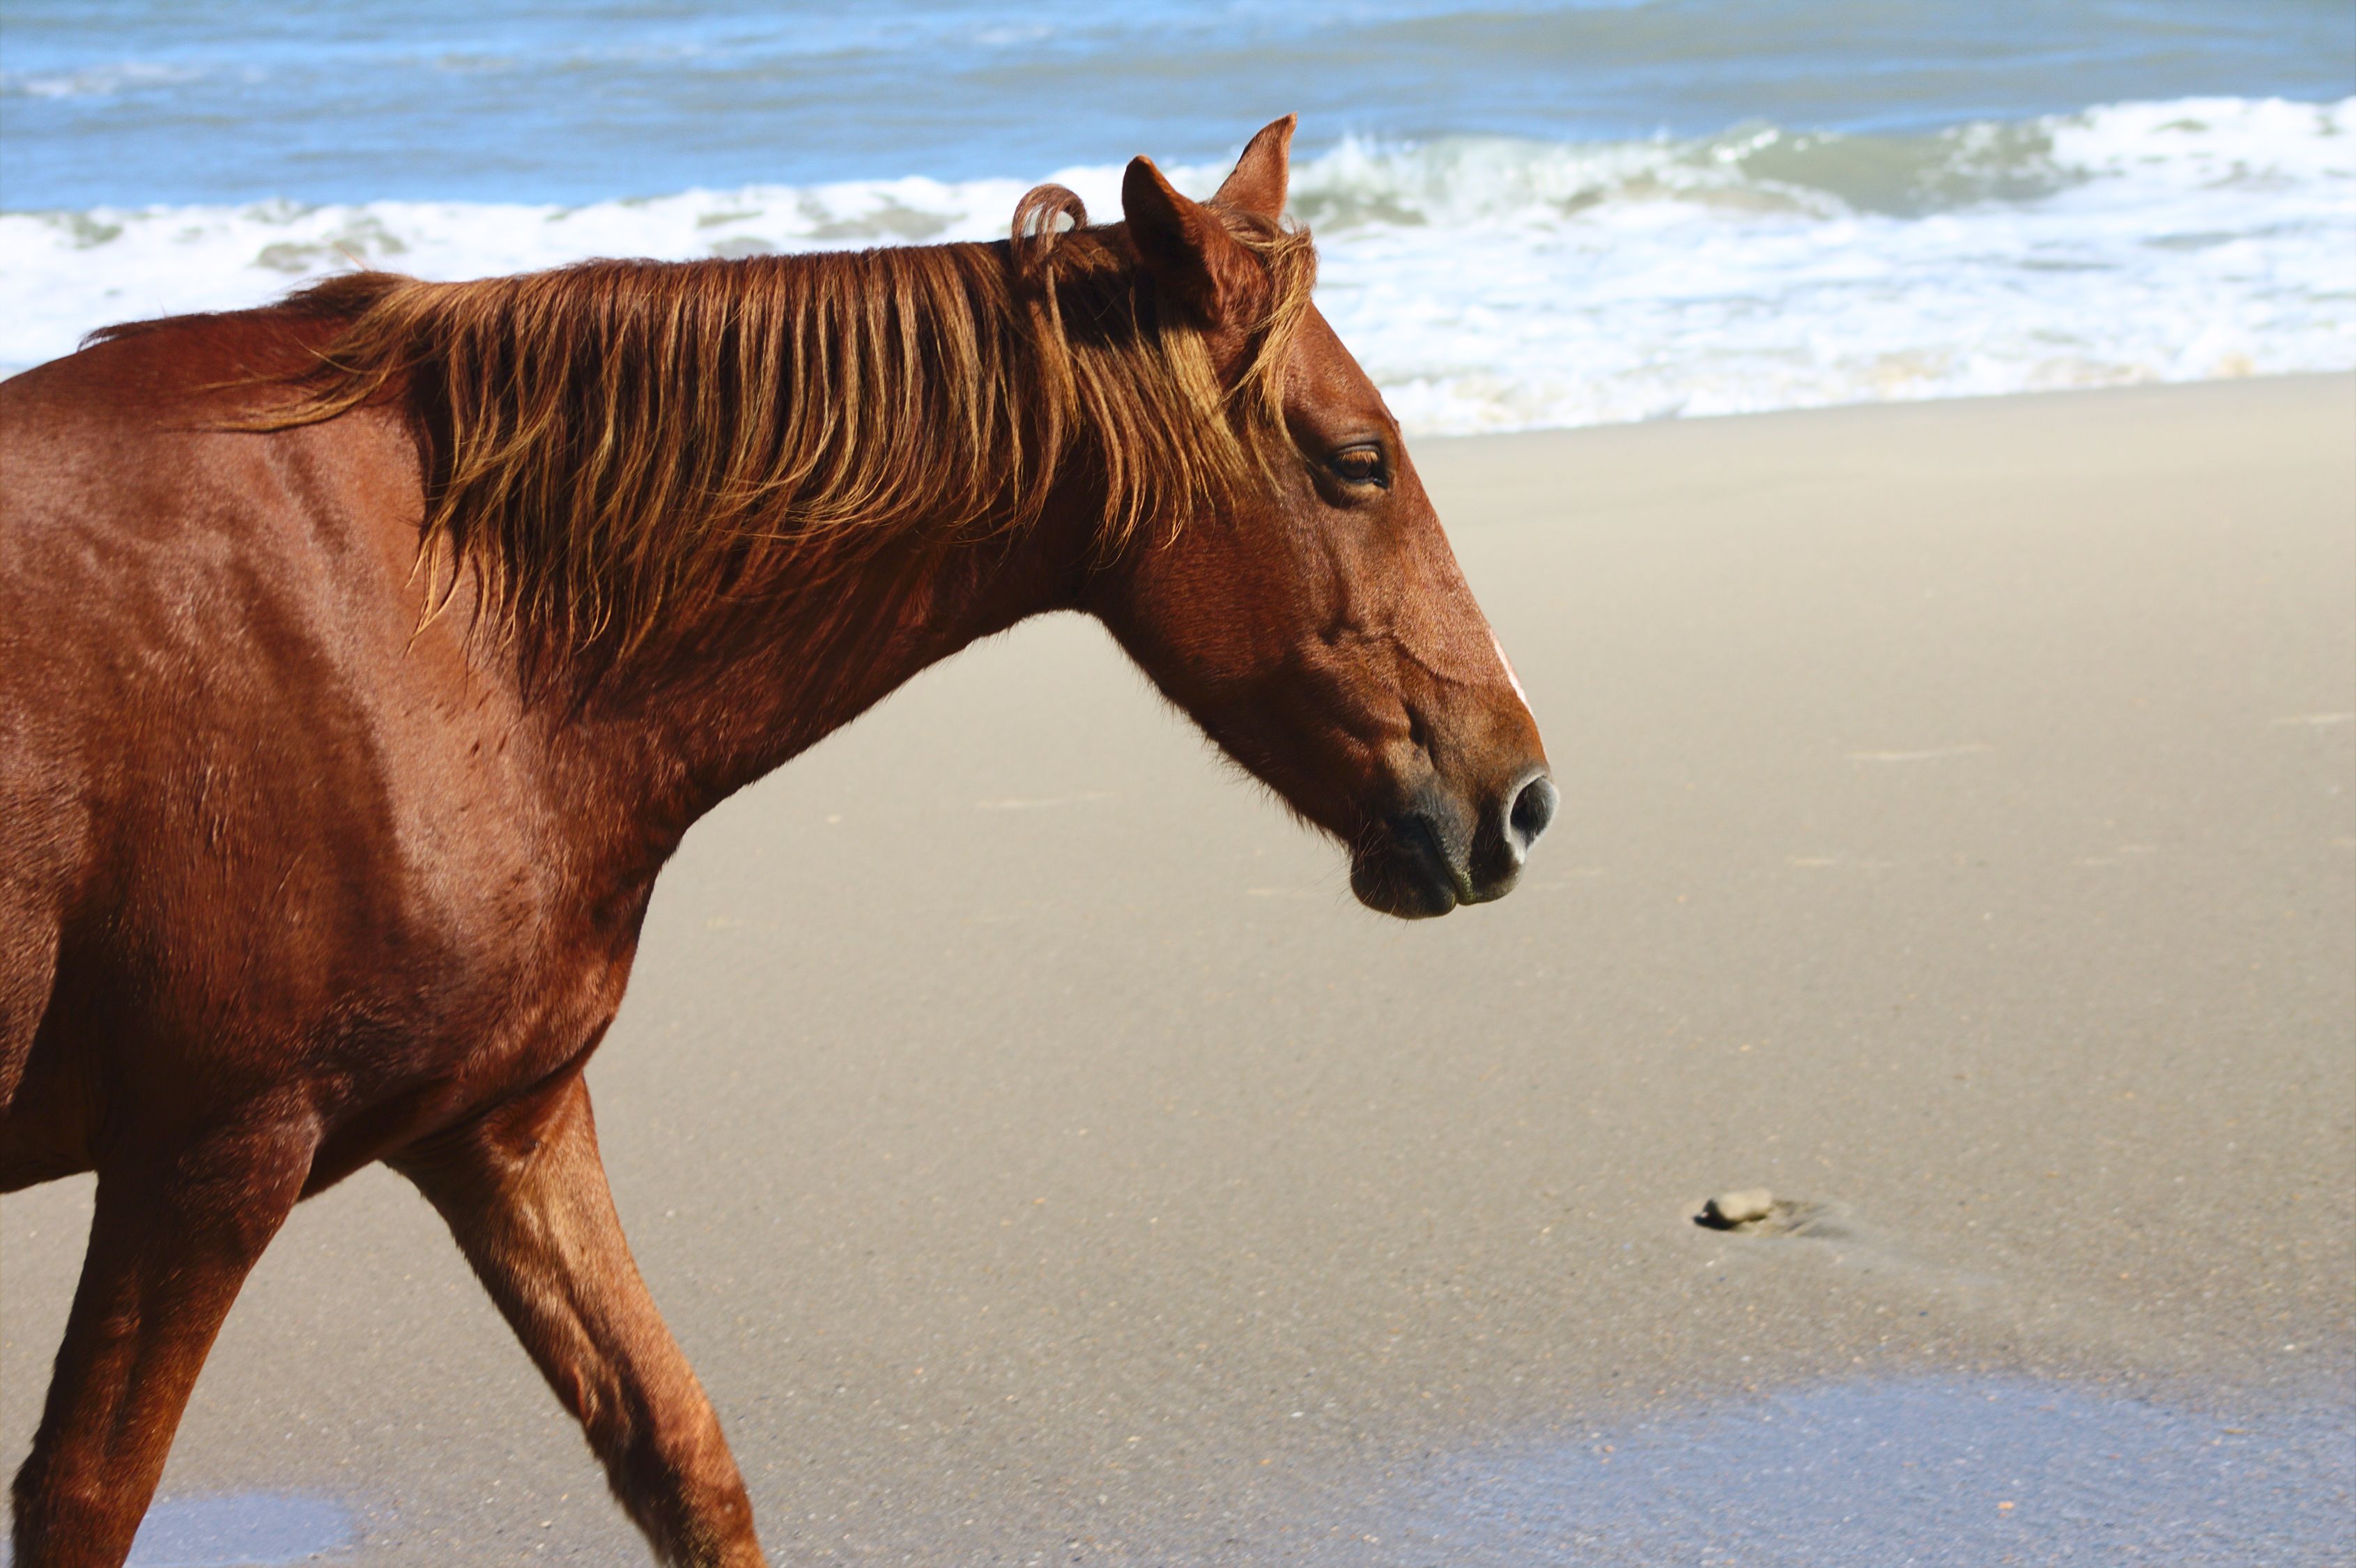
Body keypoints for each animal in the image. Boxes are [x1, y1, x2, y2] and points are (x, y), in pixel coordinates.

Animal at [0, 117, 1553, 1566]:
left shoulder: (504, 1122)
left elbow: (681, 1453)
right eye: (1356, 461)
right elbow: (84, 1497)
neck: (447, 617)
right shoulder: (206, 1164)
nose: (1522, 797)